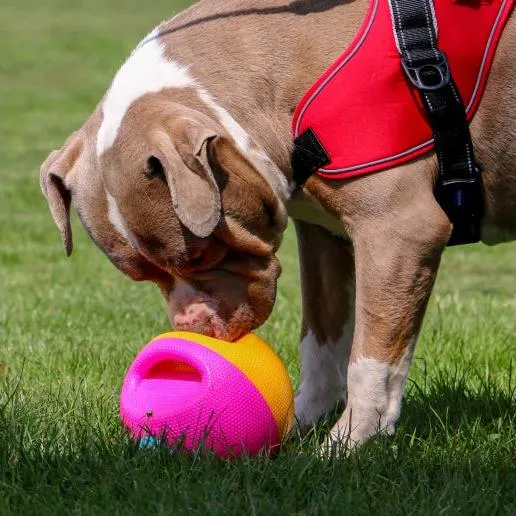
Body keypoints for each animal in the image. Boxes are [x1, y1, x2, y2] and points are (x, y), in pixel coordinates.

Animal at [40, 1, 516, 452]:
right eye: (142, 276)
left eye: (201, 255)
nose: (192, 329)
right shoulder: (325, 234)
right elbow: (321, 337)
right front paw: (299, 427)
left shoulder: (398, 229)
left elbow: (371, 357)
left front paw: (346, 446)